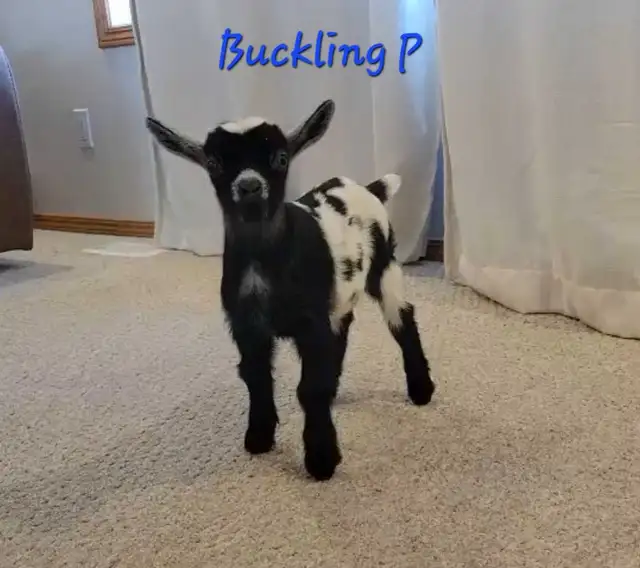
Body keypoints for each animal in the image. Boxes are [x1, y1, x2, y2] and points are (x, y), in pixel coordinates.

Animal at [145, 99, 435, 481]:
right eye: (214, 163)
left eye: (281, 158)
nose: (249, 187)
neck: (265, 264)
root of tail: (368, 189)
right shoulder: (247, 324)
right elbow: (255, 376)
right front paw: (258, 437)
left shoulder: (309, 321)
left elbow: (309, 387)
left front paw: (322, 459)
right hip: (338, 295)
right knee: (344, 326)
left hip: (385, 265)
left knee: (402, 319)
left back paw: (421, 389)